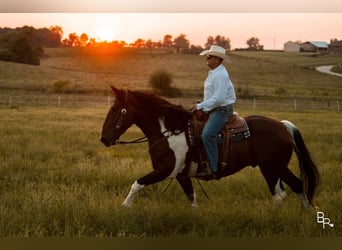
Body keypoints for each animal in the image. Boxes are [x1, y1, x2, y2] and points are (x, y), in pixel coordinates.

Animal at [100, 86, 320, 209]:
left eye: (118, 110)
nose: (104, 138)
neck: (169, 130)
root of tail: (283, 126)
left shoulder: (165, 170)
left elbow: (137, 184)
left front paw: (124, 208)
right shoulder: (181, 175)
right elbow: (191, 197)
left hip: (271, 167)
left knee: (279, 194)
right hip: (279, 167)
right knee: (297, 185)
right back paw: (306, 212)